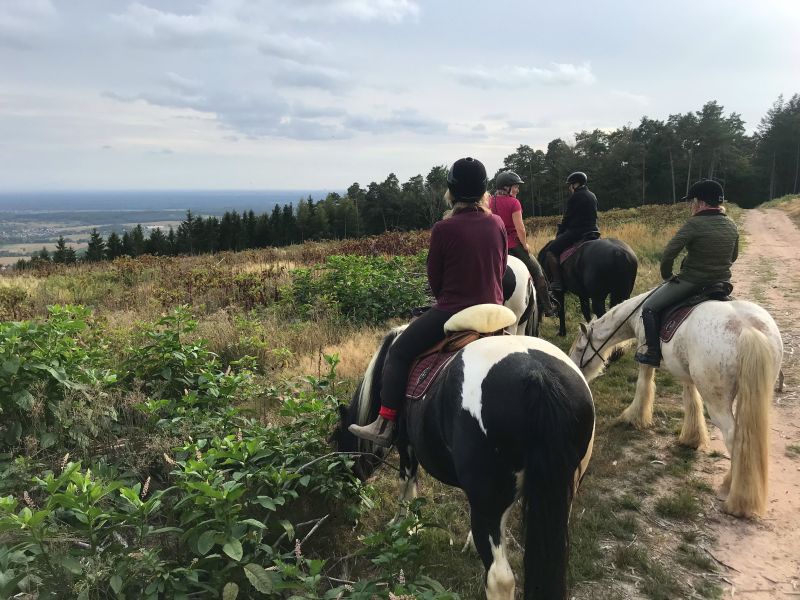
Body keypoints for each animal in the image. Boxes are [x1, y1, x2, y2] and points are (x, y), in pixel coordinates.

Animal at [332, 326, 592, 596]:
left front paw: (403, 526)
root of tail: (538, 375)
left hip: (490, 500)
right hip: (559, 496)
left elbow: (406, 483)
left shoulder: (406, 444)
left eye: (337, 442)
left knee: (499, 578)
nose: (345, 504)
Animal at [568, 290, 780, 516]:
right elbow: (691, 400)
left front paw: (634, 418)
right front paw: (692, 438)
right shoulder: (685, 372)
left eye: (580, 348)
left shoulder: (645, 357)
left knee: (734, 437)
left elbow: (644, 385)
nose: (575, 369)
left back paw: (734, 492)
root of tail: (747, 329)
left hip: (718, 402)